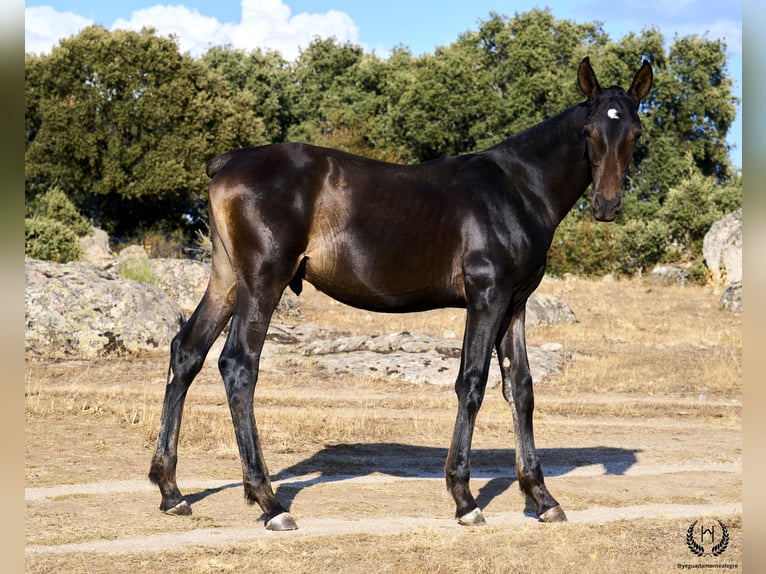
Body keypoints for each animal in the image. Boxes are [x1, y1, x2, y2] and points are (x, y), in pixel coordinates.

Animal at [148, 57, 656, 532]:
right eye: (589, 131)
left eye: (635, 130)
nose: (607, 205)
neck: (517, 188)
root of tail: (227, 163)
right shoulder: (486, 298)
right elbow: (471, 383)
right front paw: (464, 499)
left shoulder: (515, 305)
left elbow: (522, 389)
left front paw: (542, 498)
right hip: (262, 283)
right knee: (238, 366)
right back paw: (269, 502)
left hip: (227, 280)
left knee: (188, 352)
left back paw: (172, 491)